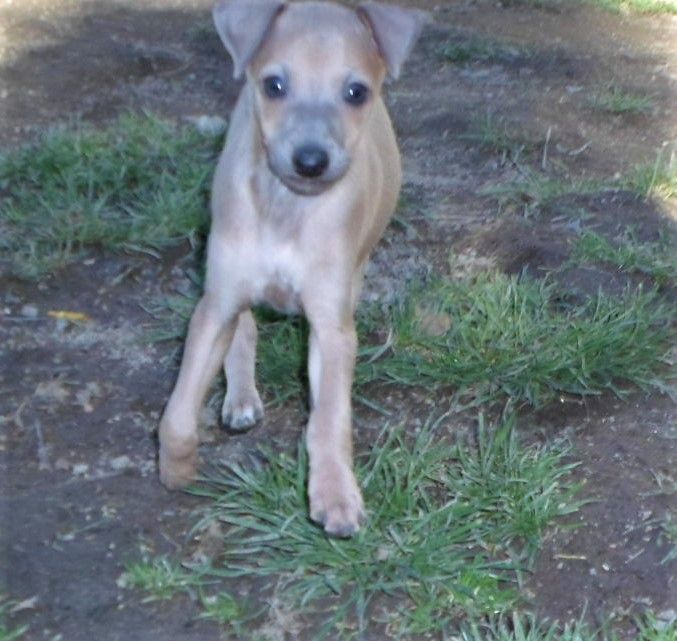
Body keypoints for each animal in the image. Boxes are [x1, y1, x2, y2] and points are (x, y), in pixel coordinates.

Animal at [158, 0, 424, 537]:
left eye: (356, 91)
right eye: (274, 85)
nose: (310, 160)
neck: (287, 209)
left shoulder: (331, 327)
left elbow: (328, 420)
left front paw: (335, 494)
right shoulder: (215, 304)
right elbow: (177, 410)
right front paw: (176, 468)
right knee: (244, 329)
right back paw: (240, 399)